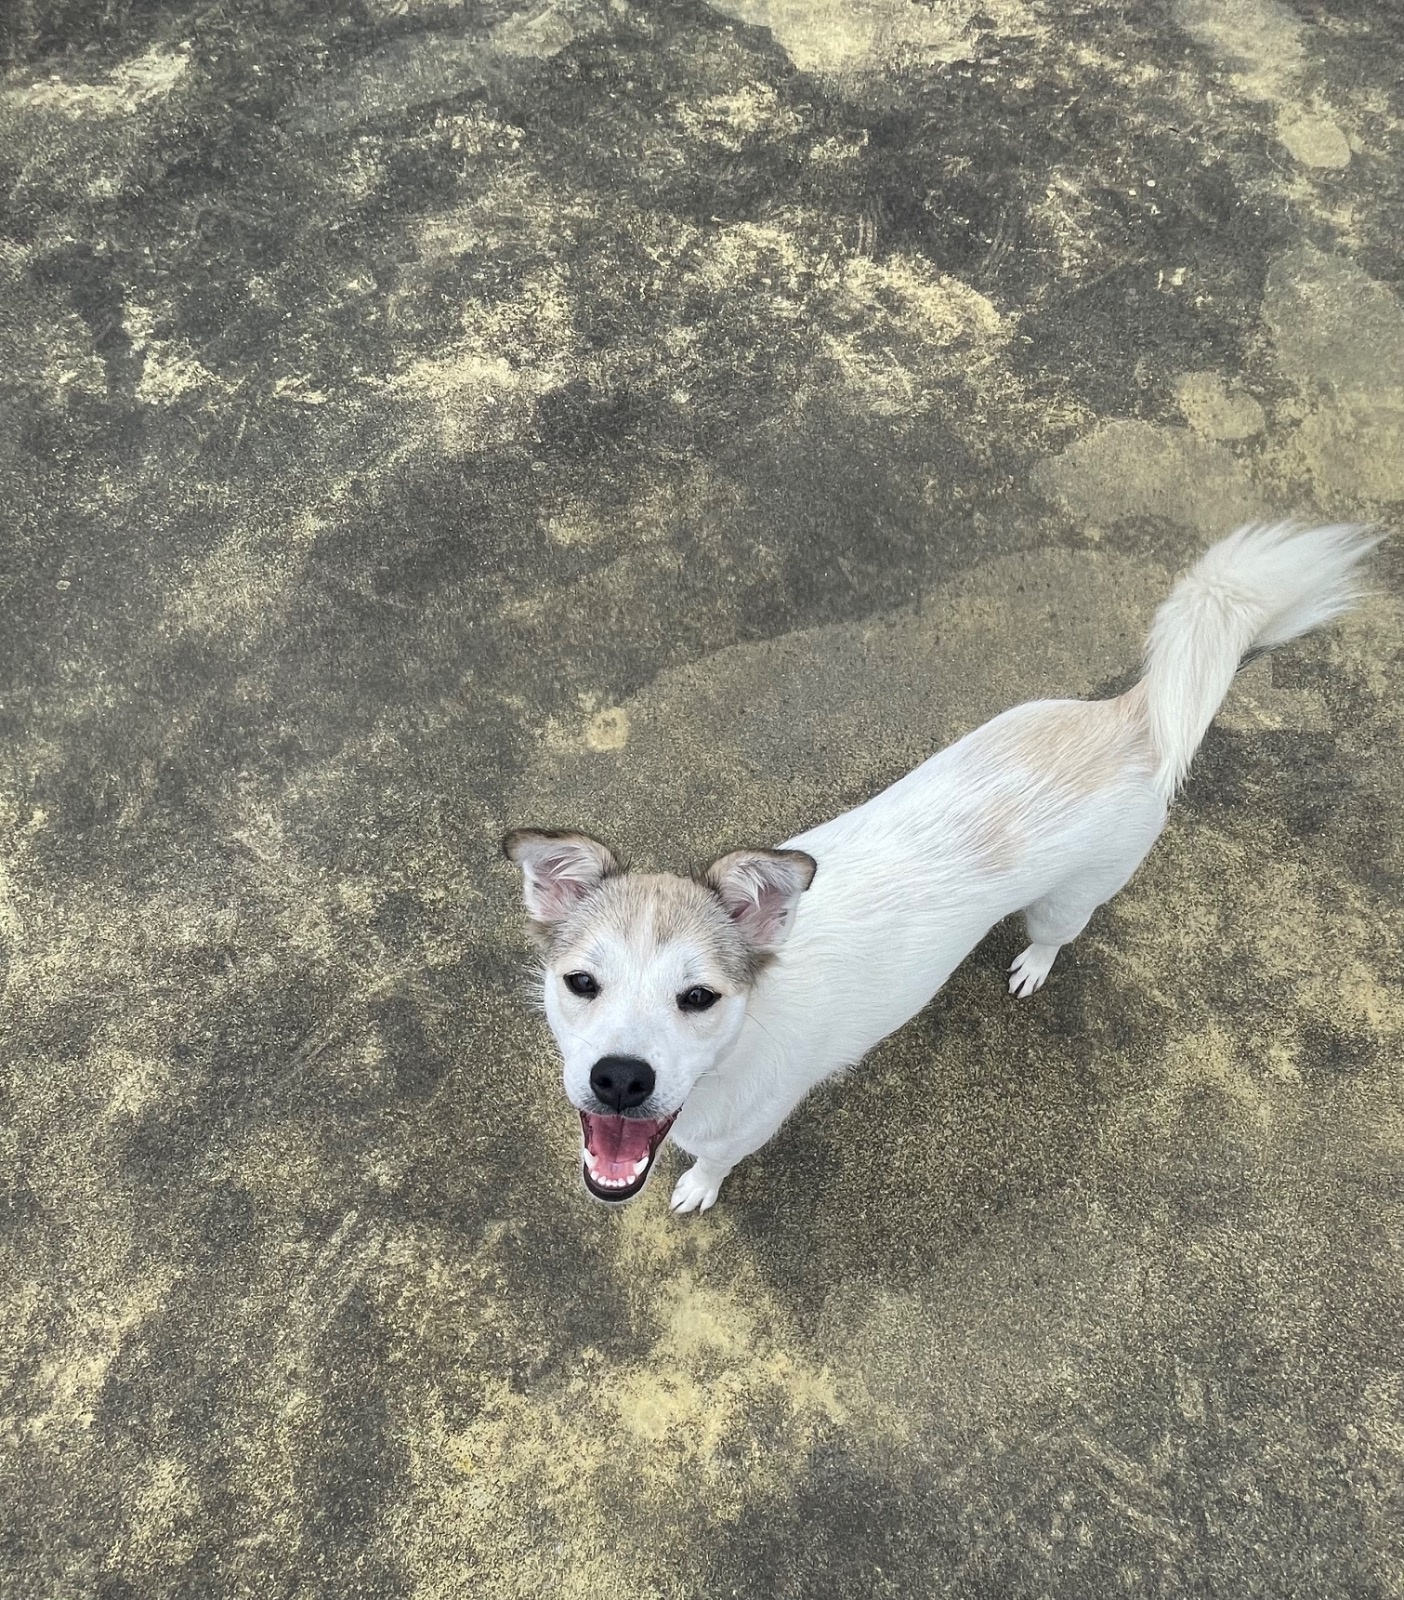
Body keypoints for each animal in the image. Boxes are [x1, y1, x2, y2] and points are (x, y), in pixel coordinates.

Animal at [502, 524, 1375, 1209]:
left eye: (698, 997)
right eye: (581, 983)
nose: (619, 1079)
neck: (741, 1041)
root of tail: (1129, 720)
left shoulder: (747, 1127)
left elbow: (714, 1163)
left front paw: (698, 1188)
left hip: (1069, 900)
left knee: (1056, 933)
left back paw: (1033, 963)